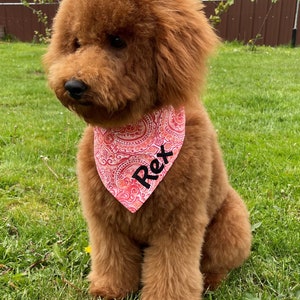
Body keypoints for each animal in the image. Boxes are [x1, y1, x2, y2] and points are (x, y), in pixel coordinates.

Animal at [43, 0, 252, 298]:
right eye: (77, 43)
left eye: (117, 41)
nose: (73, 85)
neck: (130, 130)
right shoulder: (106, 221)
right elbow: (112, 258)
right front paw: (110, 289)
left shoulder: (178, 223)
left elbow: (171, 271)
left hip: (230, 222)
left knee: (216, 264)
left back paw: (211, 281)